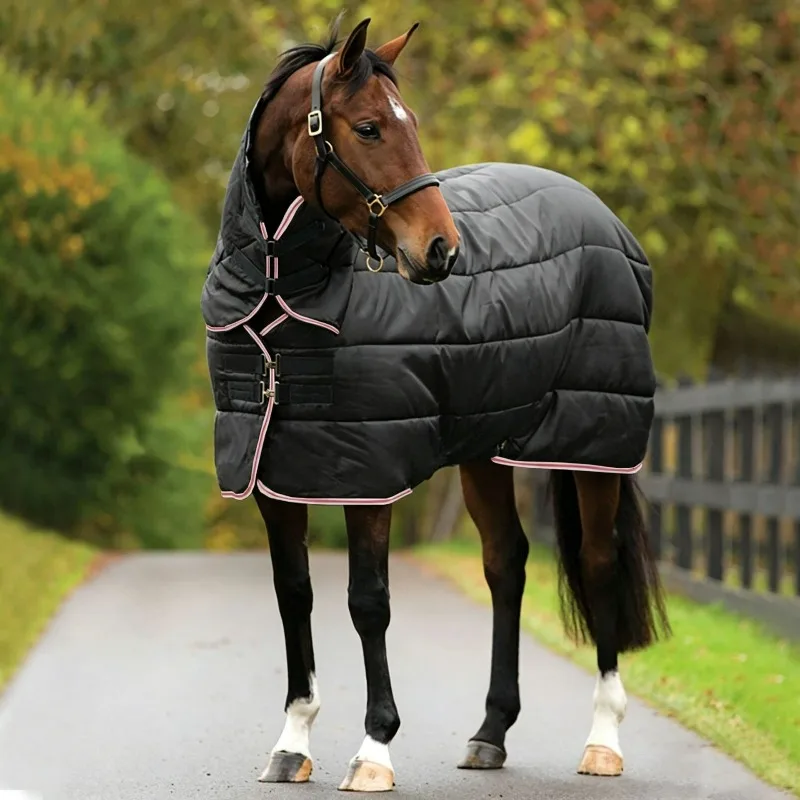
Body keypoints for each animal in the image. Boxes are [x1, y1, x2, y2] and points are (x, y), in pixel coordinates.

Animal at [201, 14, 670, 792]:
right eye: (367, 128)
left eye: (411, 123)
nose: (442, 251)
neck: (282, 288)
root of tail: (605, 218)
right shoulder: (274, 471)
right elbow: (293, 593)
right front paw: (293, 742)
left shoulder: (369, 475)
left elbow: (368, 603)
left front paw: (374, 749)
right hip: (485, 449)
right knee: (506, 563)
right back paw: (490, 733)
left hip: (593, 445)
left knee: (599, 564)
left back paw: (603, 740)